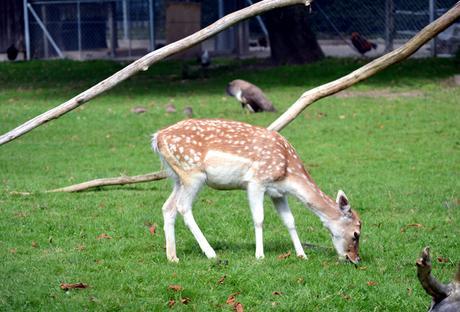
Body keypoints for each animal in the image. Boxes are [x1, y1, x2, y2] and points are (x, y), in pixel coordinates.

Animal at [153, 118, 362, 262]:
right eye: (356, 234)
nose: (356, 259)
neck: (288, 172)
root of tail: (157, 137)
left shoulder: (278, 193)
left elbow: (290, 221)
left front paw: (302, 255)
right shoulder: (256, 181)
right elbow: (259, 218)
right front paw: (260, 255)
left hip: (177, 177)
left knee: (167, 207)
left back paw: (173, 257)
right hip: (193, 174)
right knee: (183, 207)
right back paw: (211, 253)